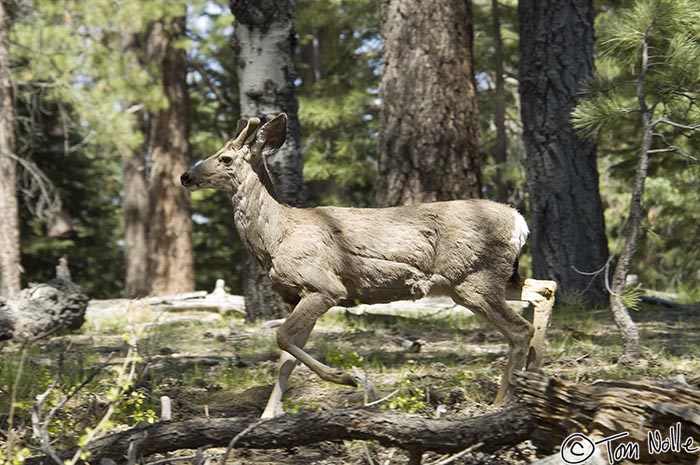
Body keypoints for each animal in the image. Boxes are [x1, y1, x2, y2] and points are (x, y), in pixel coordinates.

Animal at [180, 112, 556, 416]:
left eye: (225, 158)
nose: (185, 176)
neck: (278, 235)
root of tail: (519, 221)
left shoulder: (324, 286)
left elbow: (282, 337)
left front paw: (347, 378)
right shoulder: (303, 293)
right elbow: (287, 357)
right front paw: (268, 416)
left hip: (472, 280)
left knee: (519, 329)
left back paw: (502, 401)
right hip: (495, 277)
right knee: (545, 289)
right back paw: (534, 378)